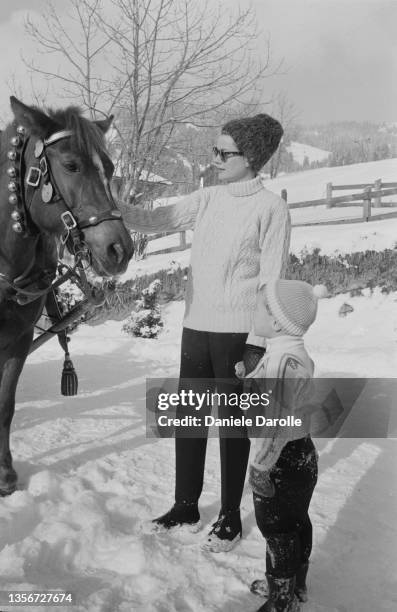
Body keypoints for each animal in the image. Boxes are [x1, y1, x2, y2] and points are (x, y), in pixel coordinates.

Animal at [0, 97, 135, 498]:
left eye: (109, 168)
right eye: (71, 165)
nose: (120, 249)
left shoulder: (17, 340)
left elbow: (5, 405)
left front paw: (6, 473)